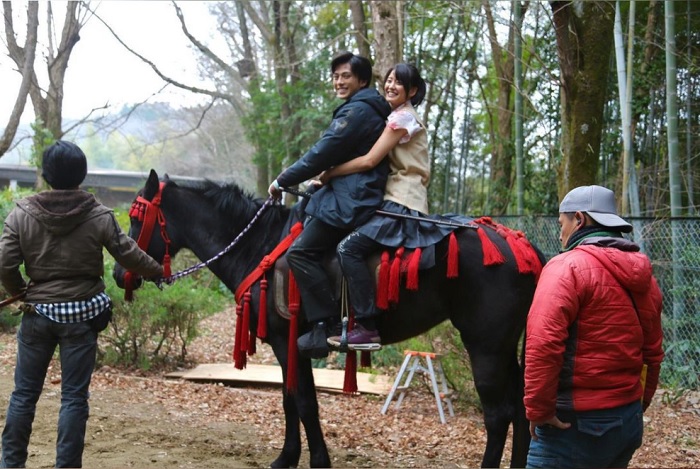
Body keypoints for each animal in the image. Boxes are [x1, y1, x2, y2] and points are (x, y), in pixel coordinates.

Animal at [113, 170, 540, 466]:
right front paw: (287, 458)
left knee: (498, 416)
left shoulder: (287, 342)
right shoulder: (287, 347)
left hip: (485, 346)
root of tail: (521, 246)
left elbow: (304, 403)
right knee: (520, 411)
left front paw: (315, 460)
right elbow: (290, 400)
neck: (260, 246)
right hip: (506, 349)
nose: (119, 274)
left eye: (137, 217)